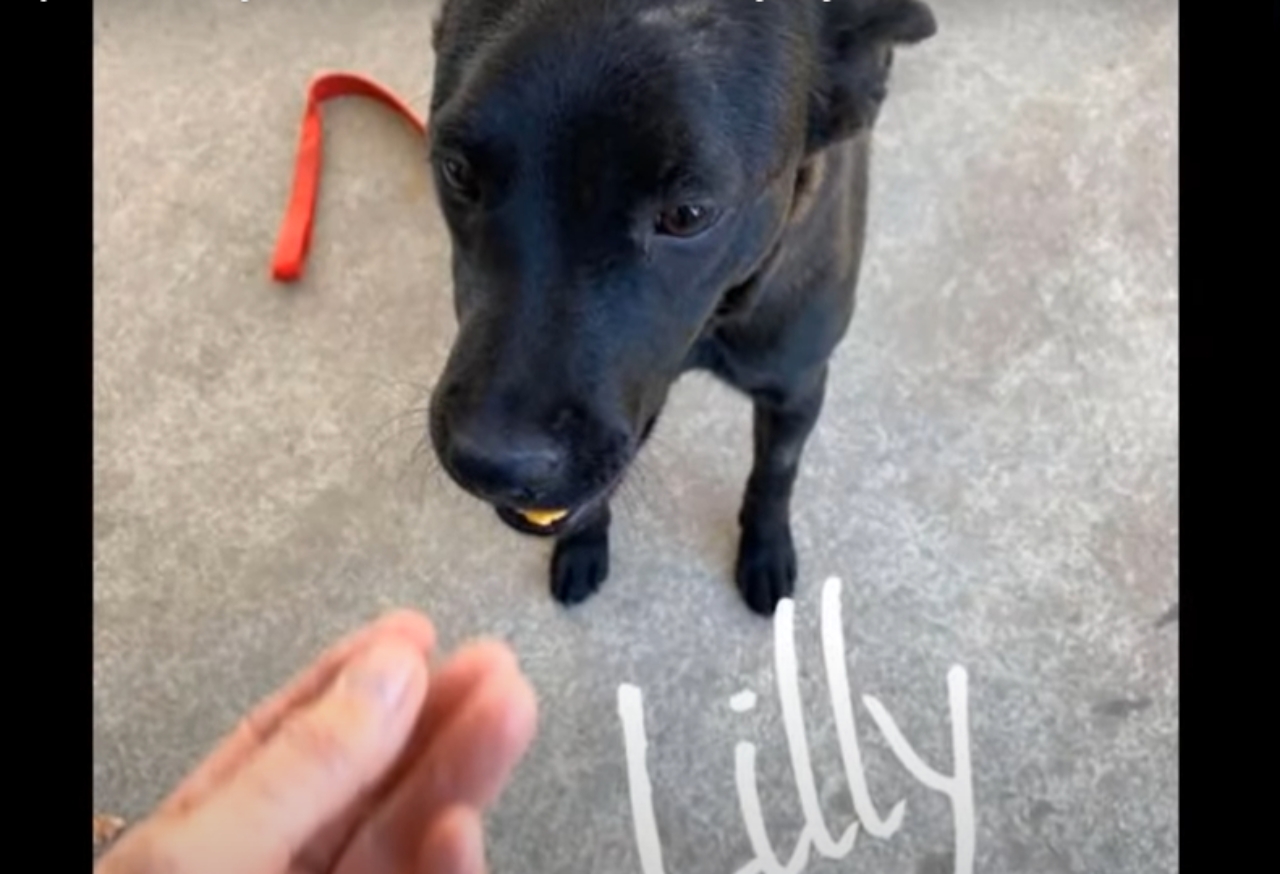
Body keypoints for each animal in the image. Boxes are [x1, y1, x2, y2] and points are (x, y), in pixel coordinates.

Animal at [424, 0, 936, 614]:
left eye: (687, 215)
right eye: (456, 170)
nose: (492, 463)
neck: (717, 319)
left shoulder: (798, 387)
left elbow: (776, 472)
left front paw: (765, 548)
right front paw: (583, 545)